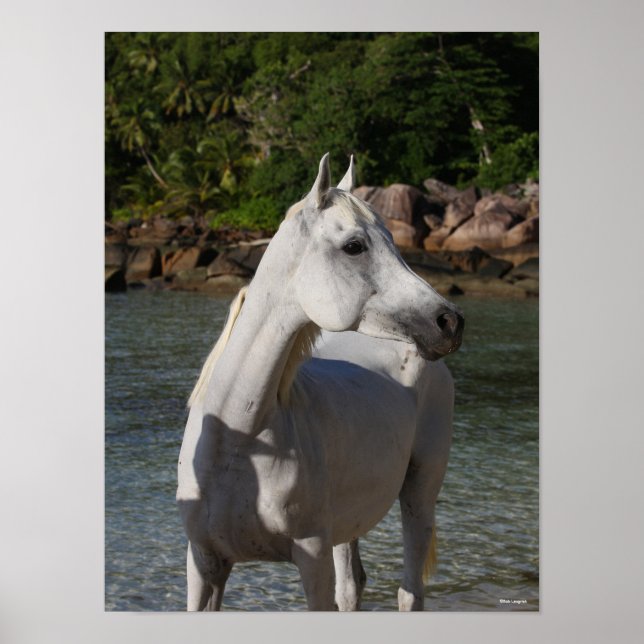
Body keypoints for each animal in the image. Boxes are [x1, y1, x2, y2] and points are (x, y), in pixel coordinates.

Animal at [176, 154, 464, 611]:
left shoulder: (311, 558)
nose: (449, 322)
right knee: (353, 586)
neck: (241, 442)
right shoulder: (204, 564)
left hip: (420, 492)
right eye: (354, 246)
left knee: (409, 591)